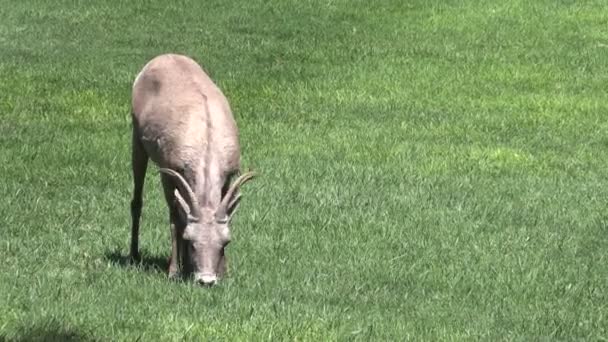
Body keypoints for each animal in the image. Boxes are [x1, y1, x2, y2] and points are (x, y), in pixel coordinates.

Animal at [131, 53, 254, 286]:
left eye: (225, 242)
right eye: (191, 241)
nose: (206, 280)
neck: (206, 142)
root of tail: (161, 58)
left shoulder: (227, 177)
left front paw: (224, 272)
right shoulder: (170, 175)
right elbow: (175, 220)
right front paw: (174, 271)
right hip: (137, 142)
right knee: (137, 200)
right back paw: (133, 256)